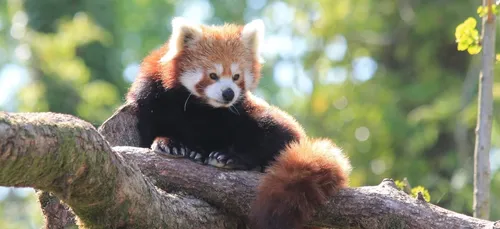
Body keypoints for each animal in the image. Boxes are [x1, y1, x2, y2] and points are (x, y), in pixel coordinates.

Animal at [126, 17, 352, 228]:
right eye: (213, 75)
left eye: (236, 76)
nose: (228, 93)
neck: (199, 107)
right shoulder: (151, 97)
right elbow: (150, 130)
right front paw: (171, 143)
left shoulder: (236, 110)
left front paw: (210, 151)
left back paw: (231, 158)